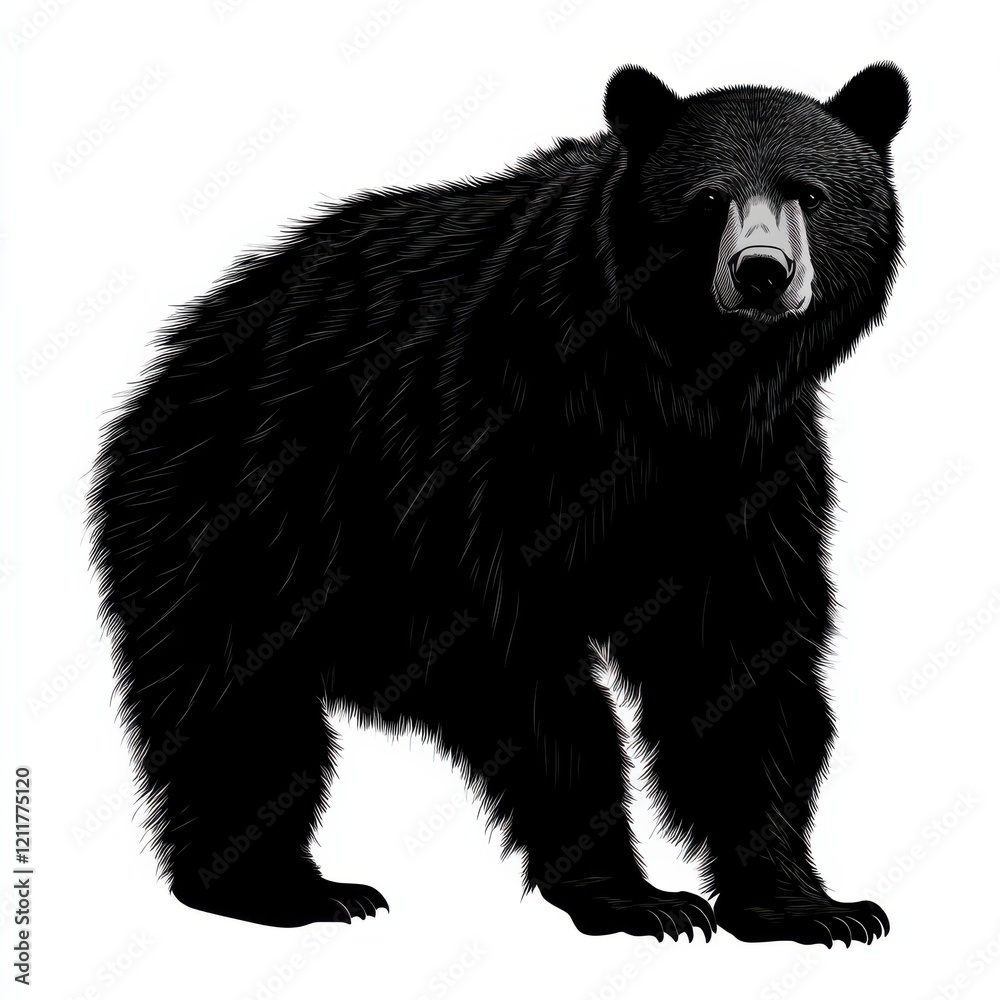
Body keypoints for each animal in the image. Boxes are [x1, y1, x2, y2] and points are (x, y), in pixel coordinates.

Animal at [89, 61, 909, 947]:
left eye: (810, 194)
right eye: (707, 199)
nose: (762, 272)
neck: (673, 380)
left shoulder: (743, 473)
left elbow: (739, 655)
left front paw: (805, 904)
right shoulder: (498, 435)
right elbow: (522, 664)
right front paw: (632, 896)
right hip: (239, 524)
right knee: (238, 713)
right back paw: (278, 887)